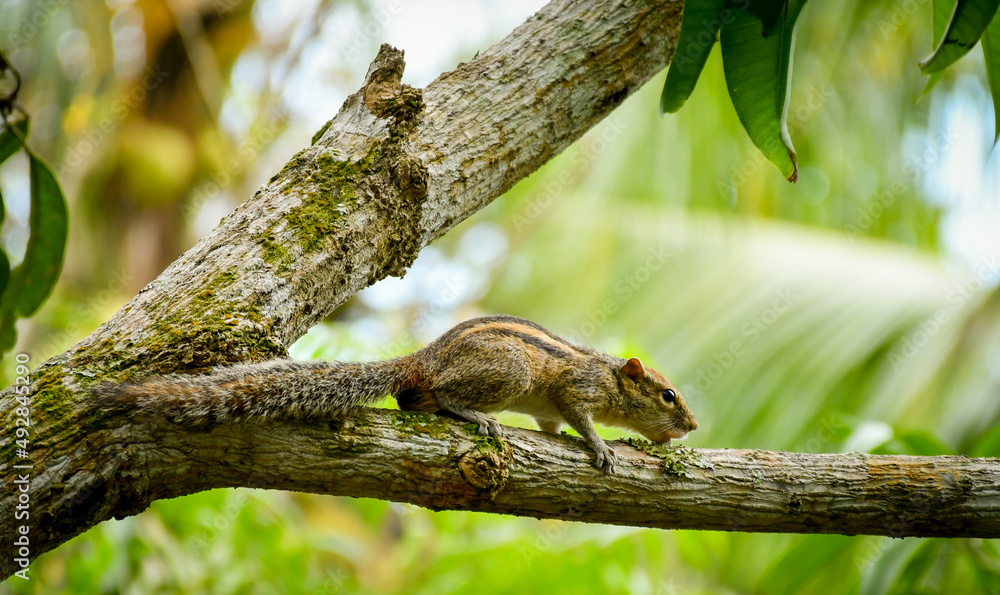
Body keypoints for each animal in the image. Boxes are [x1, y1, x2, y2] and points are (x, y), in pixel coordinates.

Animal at [94, 315, 698, 474]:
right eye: (669, 396)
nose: (693, 427)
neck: (610, 377)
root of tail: (423, 358)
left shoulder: (555, 408)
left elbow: (552, 424)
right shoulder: (577, 389)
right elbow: (581, 419)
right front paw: (603, 447)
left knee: (413, 399)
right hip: (510, 374)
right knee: (440, 395)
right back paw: (475, 415)